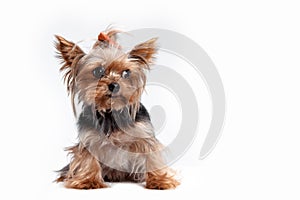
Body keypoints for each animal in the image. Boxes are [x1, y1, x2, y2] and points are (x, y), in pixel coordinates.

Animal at [55, 28, 179, 189]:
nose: (114, 85)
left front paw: (159, 180)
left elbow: (151, 156)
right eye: (97, 71)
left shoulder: (144, 135)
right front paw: (88, 180)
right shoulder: (89, 139)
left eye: (126, 72)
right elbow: (87, 158)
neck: (111, 113)